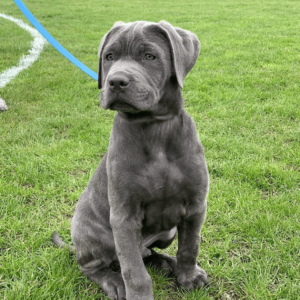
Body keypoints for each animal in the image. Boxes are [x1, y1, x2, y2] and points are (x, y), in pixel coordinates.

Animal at [52, 19, 209, 298]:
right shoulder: (124, 217)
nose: (115, 81)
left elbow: (190, 247)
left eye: (149, 56)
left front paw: (188, 277)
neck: (154, 128)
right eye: (109, 57)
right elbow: (134, 271)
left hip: (167, 232)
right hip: (96, 236)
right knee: (95, 266)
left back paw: (166, 263)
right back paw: (114, 281)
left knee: (148, 253)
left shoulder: (196, 205)